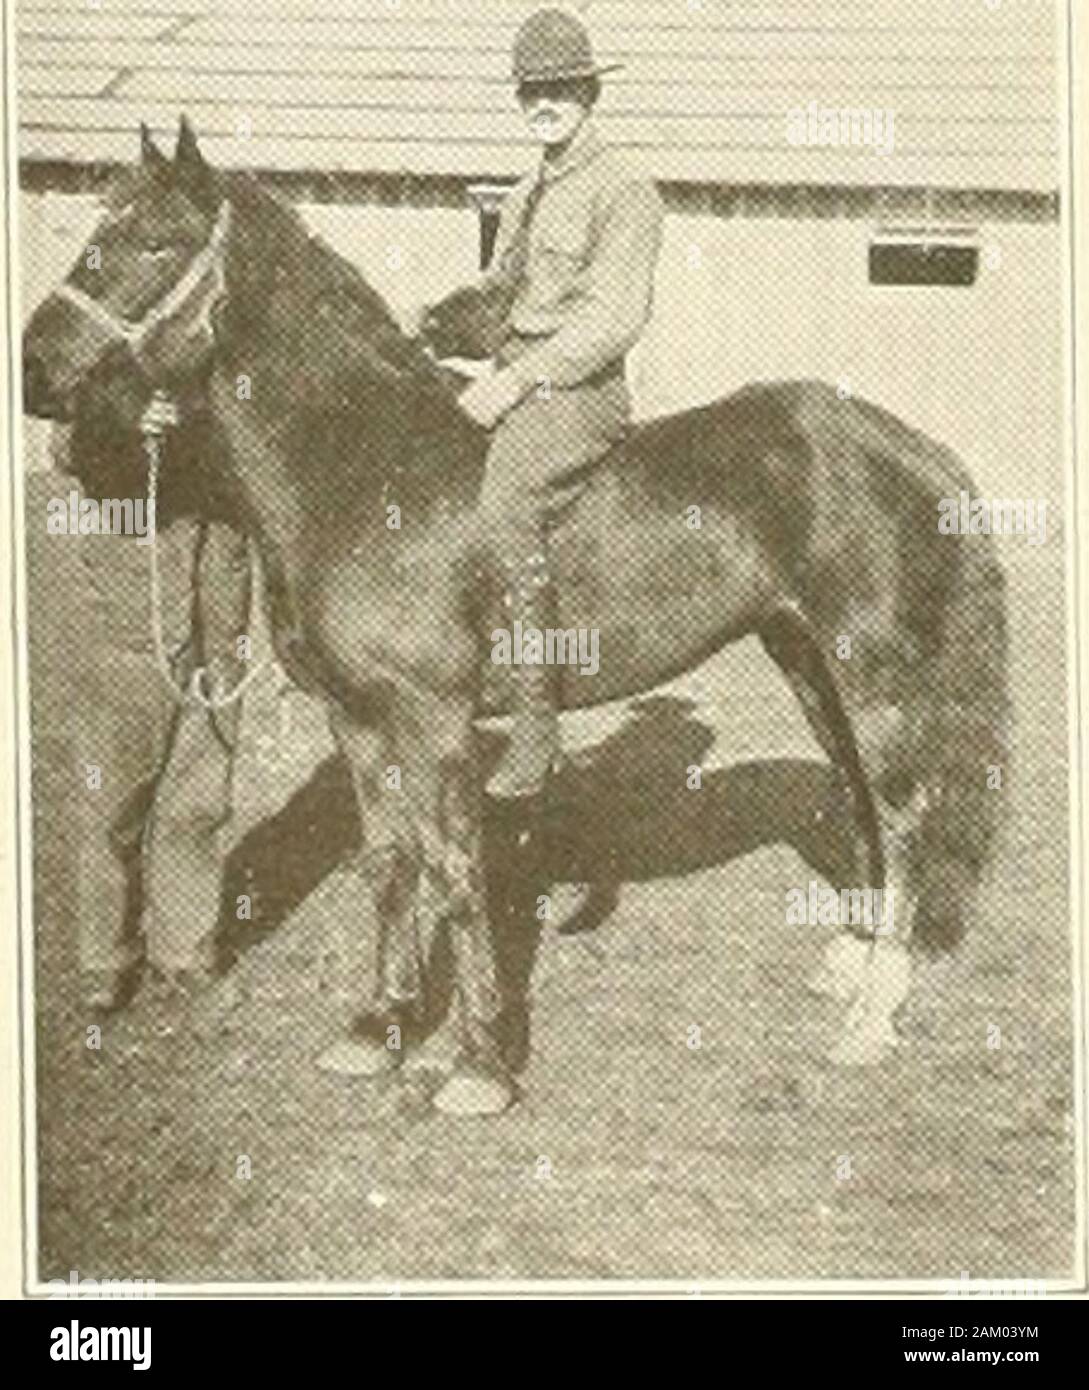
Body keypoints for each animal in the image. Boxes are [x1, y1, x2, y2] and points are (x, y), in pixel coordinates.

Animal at [23, 122, 1012, 1117]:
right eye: (98, 226)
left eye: (157, 243)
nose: (35, 369)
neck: (364, 468)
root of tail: (912, 448)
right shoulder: (357, 718)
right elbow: (391, 864)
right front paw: (377, 1029)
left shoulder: (436, 722)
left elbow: (458, 873)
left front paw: (480, 1063)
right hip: (805, 659)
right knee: (856, 798)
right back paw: (852, 964)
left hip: (873, 676)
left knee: (904, 816)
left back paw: (871, 1019)